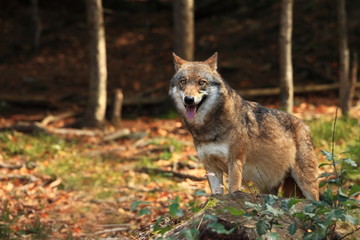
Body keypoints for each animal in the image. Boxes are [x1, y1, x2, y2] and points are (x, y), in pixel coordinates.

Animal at [170, 52, 320, 201]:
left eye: (201, 82)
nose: (189, 99)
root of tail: (304, 125)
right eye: (183, 82)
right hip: (268, 188)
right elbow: (215, 195)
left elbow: (232, 191)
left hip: (306, 184)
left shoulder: (235, 163)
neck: (207, 130)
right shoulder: (211, 168)